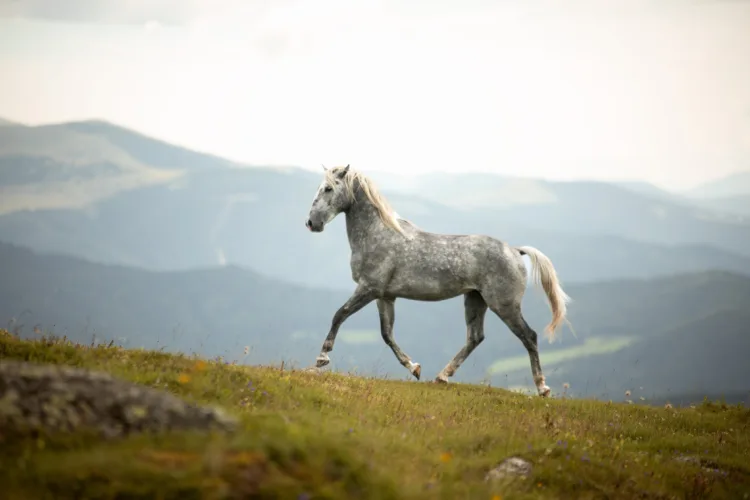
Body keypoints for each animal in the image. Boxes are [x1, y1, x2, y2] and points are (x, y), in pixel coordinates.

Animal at [304, 166, 568, 396]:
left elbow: (340, 314)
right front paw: (414, 368)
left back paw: (542, 388)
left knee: (529, 336)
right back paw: (441, 377)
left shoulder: (369, 288)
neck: (378, 234)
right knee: (475, 338)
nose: (311, 223)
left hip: (504, 305)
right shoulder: (385, 296)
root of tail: (515, 251)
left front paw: (322, 358)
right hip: (475, 299)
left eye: (328, 188)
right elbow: (386, 334)